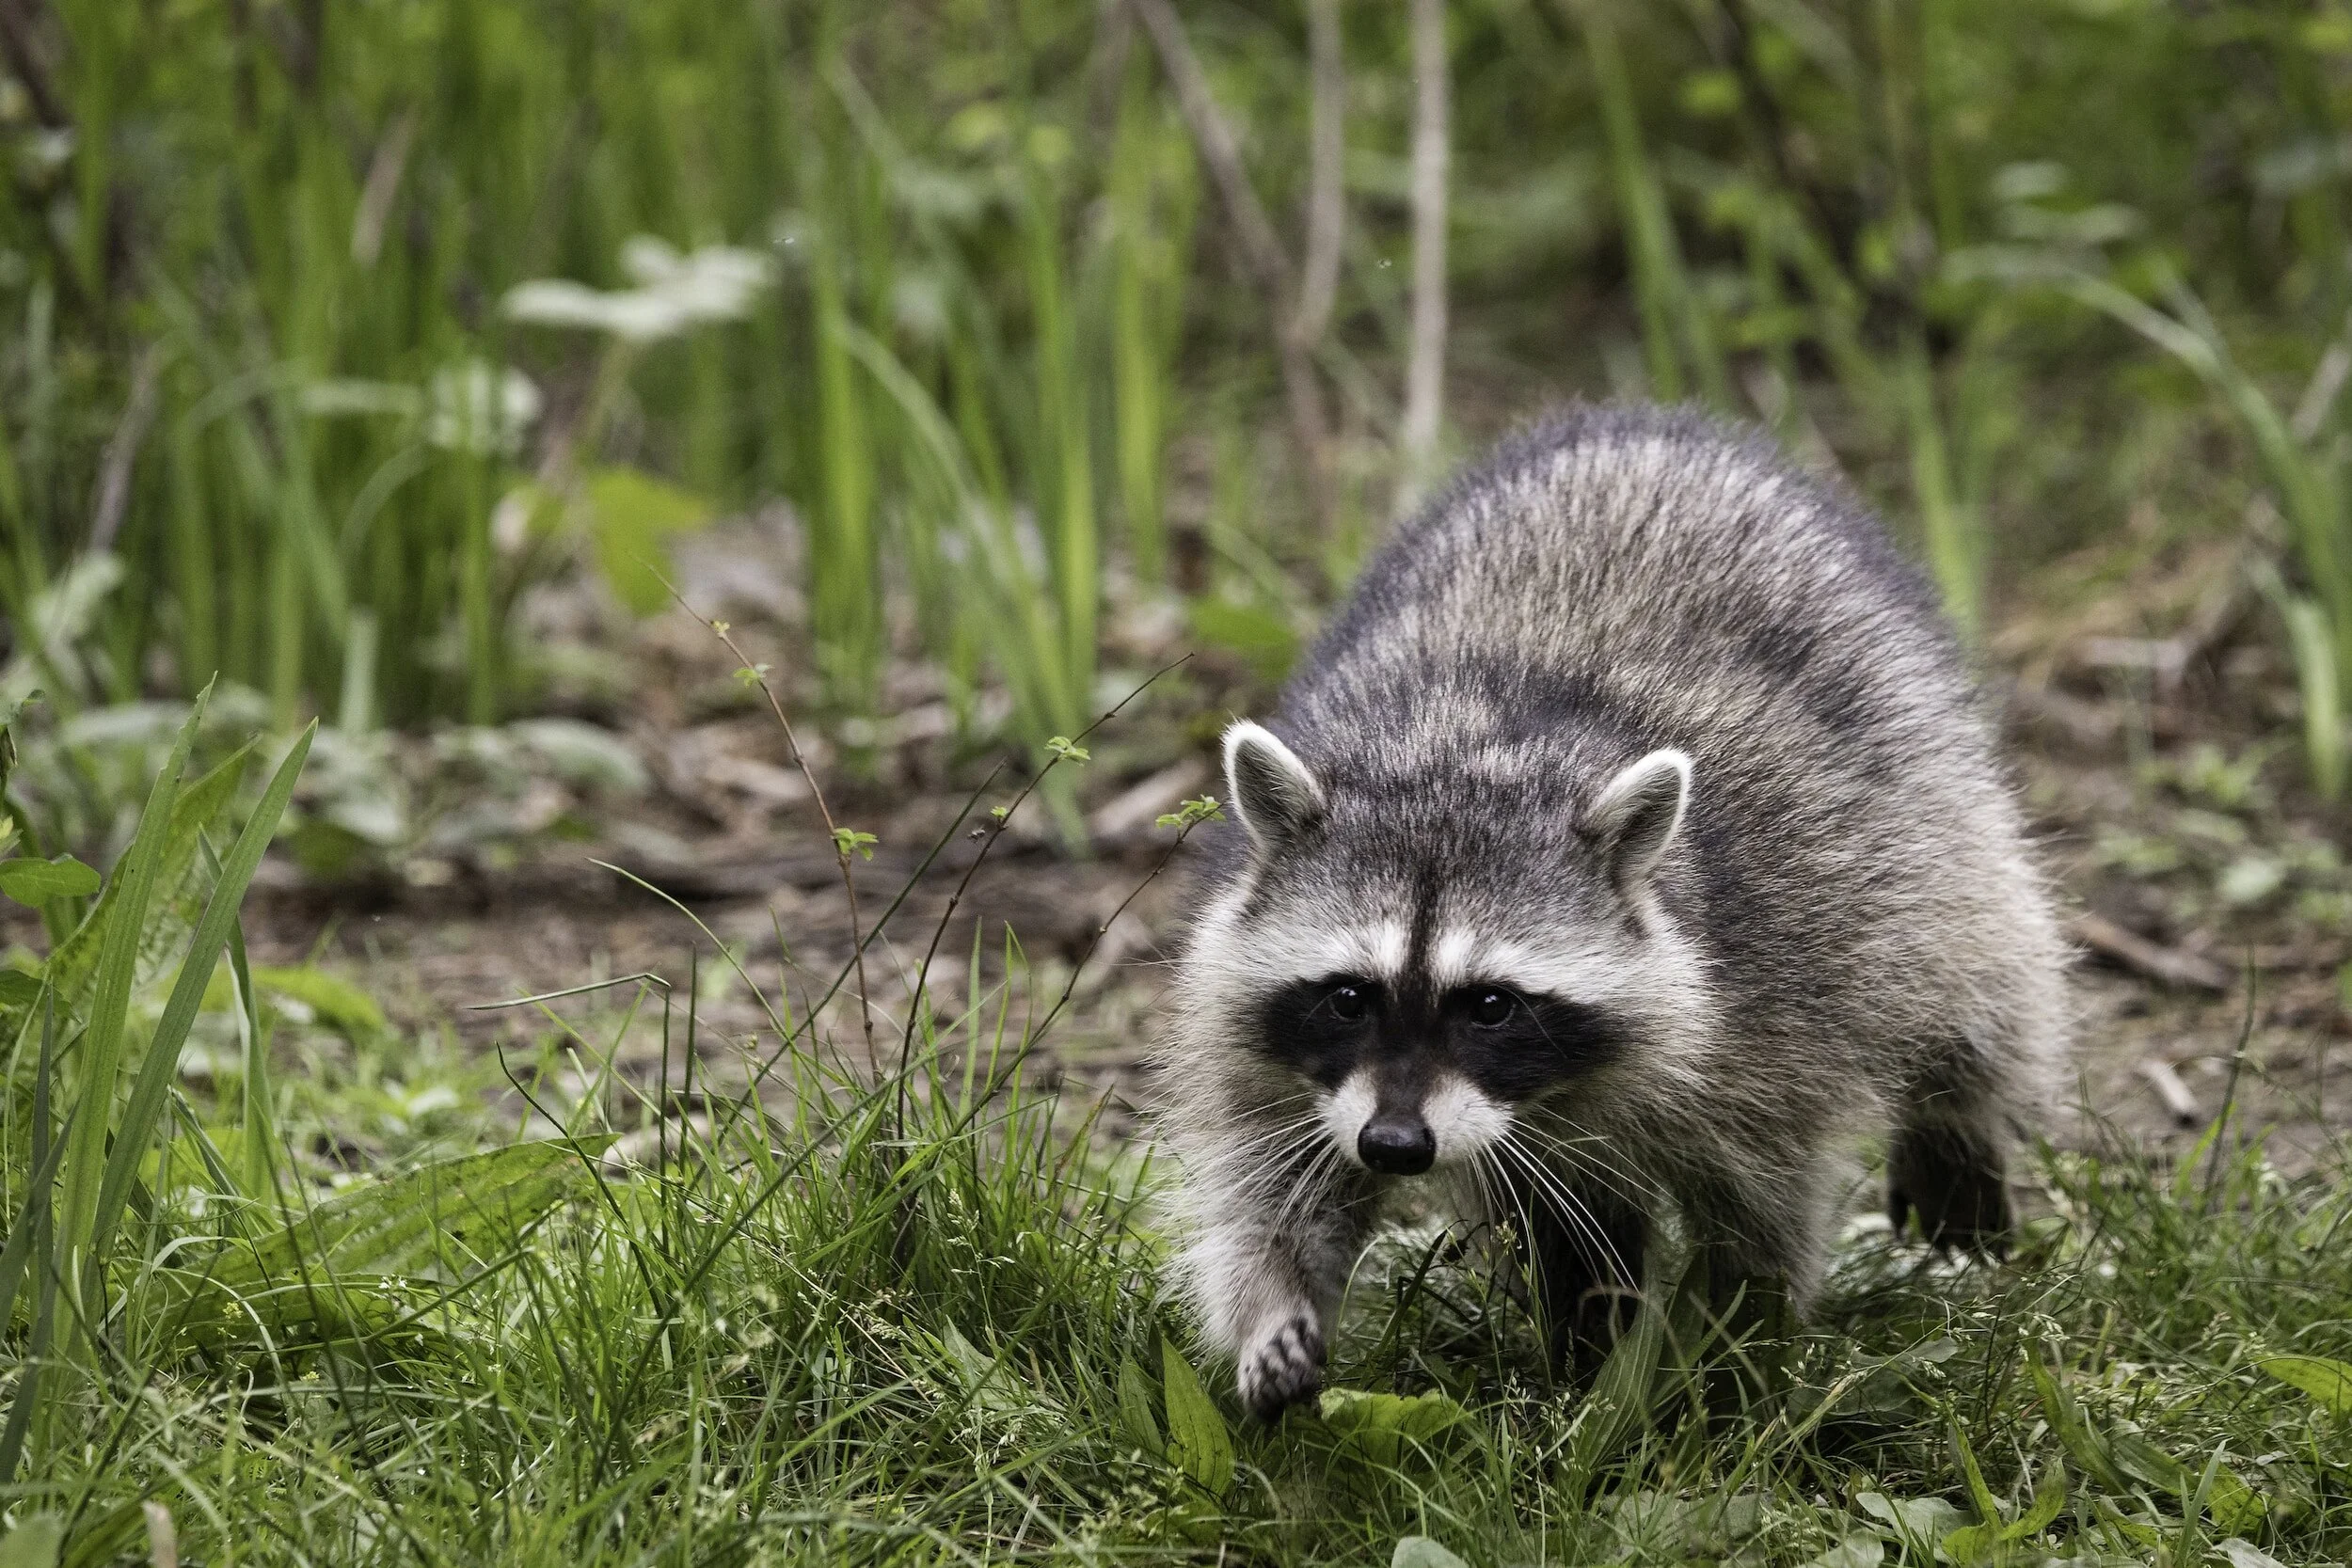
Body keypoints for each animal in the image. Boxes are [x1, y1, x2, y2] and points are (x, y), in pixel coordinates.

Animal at [1157, 404, 2069, 1420]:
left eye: (1490, 1003)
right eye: (1350, 995)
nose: (1394, 1145)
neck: (1459, 754)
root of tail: (1652, 424)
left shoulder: (1775, 997)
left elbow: (1762, 1213)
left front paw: (1734, 1362)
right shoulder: (1265, 1033)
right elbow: (1273, 1180)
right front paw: (1272, 1305)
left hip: (1923, 788)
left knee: (1981, 966)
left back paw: (1958, 1125)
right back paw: (1585, 1334)